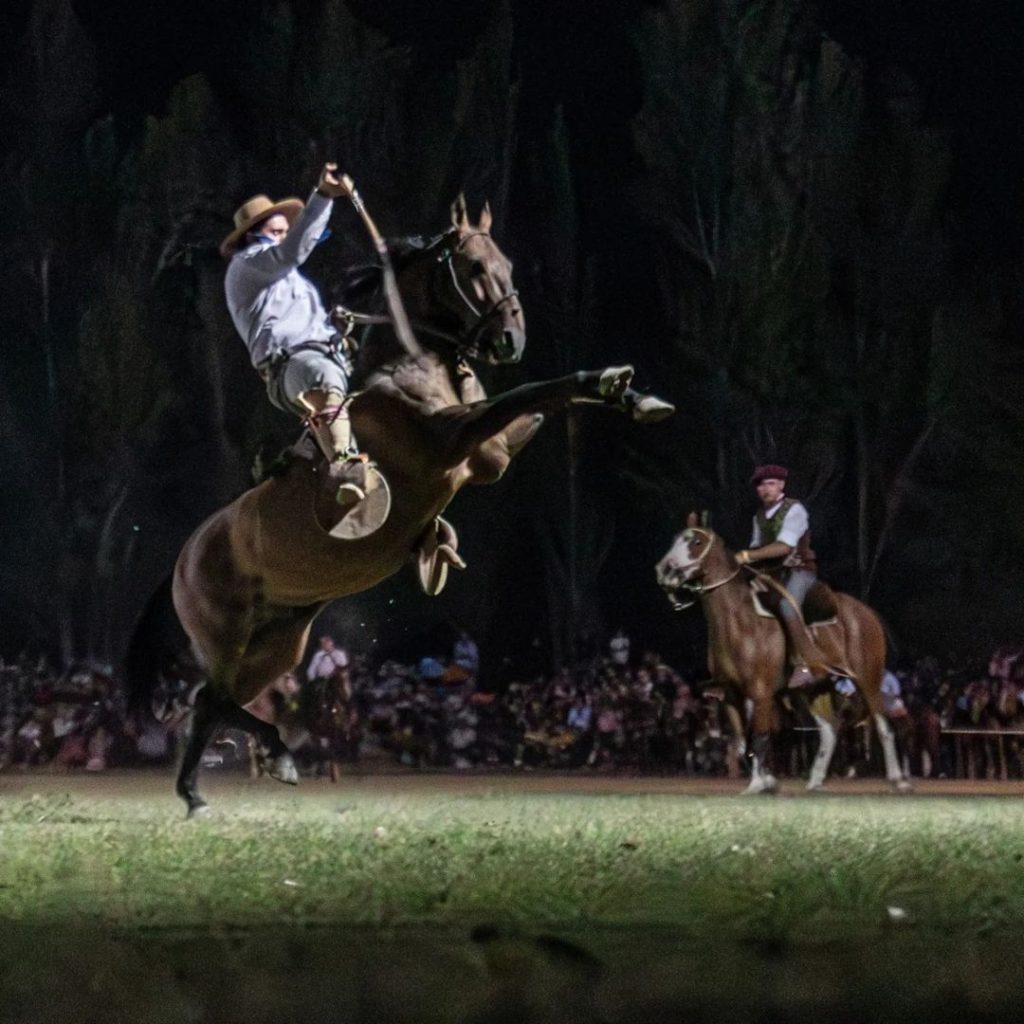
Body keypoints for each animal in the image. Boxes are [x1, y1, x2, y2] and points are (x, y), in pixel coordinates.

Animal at [128, 195, 674, 816]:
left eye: (507, 262)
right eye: (475, 267)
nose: (511, 339)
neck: (414, 368)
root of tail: (183, 561)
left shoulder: (488, 454)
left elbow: (540, 403)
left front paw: (631, 394)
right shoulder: (452, 439)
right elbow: (533, 392)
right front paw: (606, 379)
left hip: (279, 644)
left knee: (212, 701)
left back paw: (251, 767)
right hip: (225, 636)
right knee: (208, 699)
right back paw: (209, 785)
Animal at [655, 515, 910, 793]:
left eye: (697, 542)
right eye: (676, 539)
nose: (664, 570)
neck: (739, 622)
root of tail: (867, 613)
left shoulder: (760, 692)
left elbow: (759, 736)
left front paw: (757, 784)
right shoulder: (731, 695)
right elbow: (743, 742)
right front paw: (767, 780)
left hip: (866, 677)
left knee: (883, 725)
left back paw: (898, 780)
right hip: (812, 689)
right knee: (830, 730)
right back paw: (815, 781)